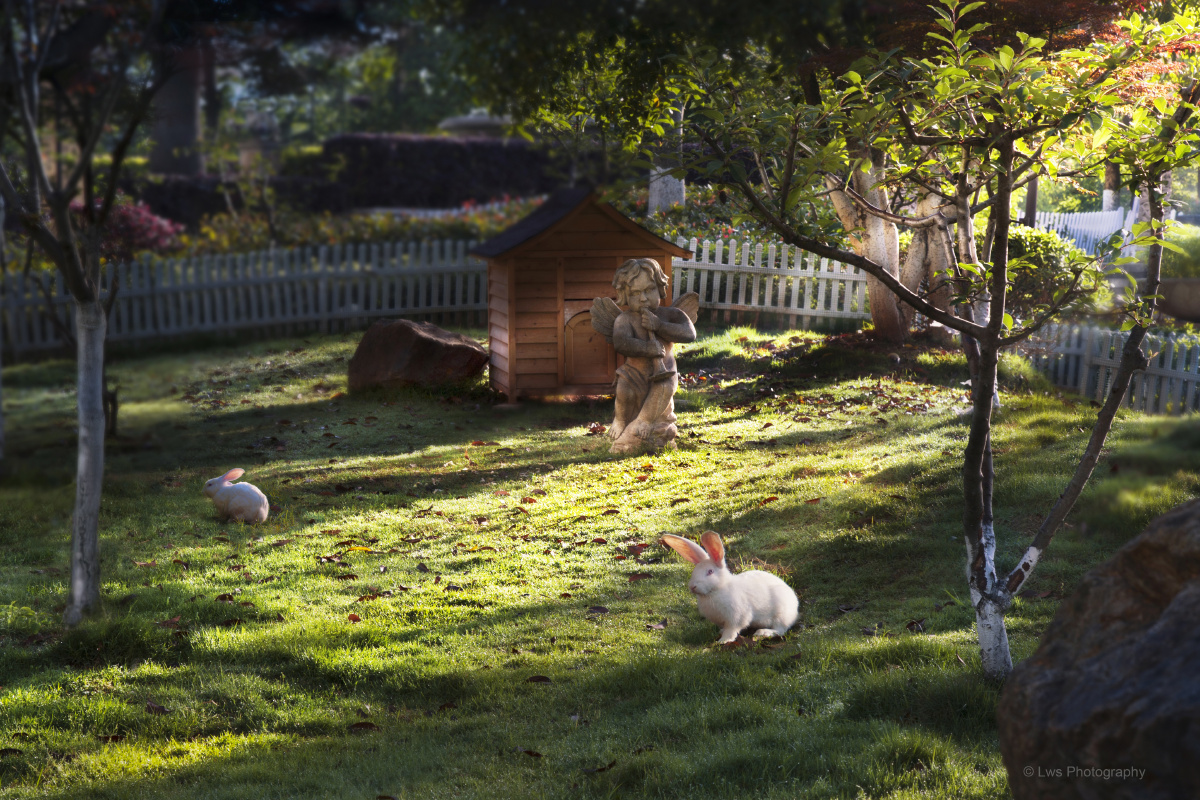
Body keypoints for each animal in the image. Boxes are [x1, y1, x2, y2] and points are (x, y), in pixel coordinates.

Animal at [661, 530, 798, 644]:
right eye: (694, 571)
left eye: (710, 572)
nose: (692, 587)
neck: (716, 591)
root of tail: (795, 605)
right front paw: (721, 633)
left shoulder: (735, 618)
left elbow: (732, 630)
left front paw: (723, 640)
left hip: (780, 615)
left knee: (780, 630)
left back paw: (762, 632)